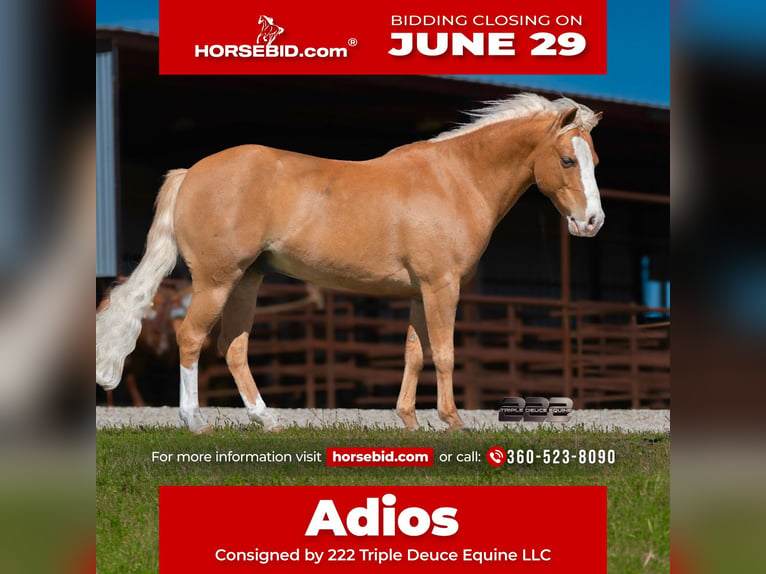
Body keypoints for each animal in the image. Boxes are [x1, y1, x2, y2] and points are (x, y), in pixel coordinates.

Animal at [96, 93, 604, 434]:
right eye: (566, 160)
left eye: (594, 160)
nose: (592, 222)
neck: (455, 179)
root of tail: (191, 173)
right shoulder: (442, 287)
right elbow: (443, 352)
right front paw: (453, 421)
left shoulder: (419, 291)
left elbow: (414, 353)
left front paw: (409, 421)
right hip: (216, 281)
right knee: (191, 339)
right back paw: (195, 421)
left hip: (246, 282)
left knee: (233, 348)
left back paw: (267, 419)